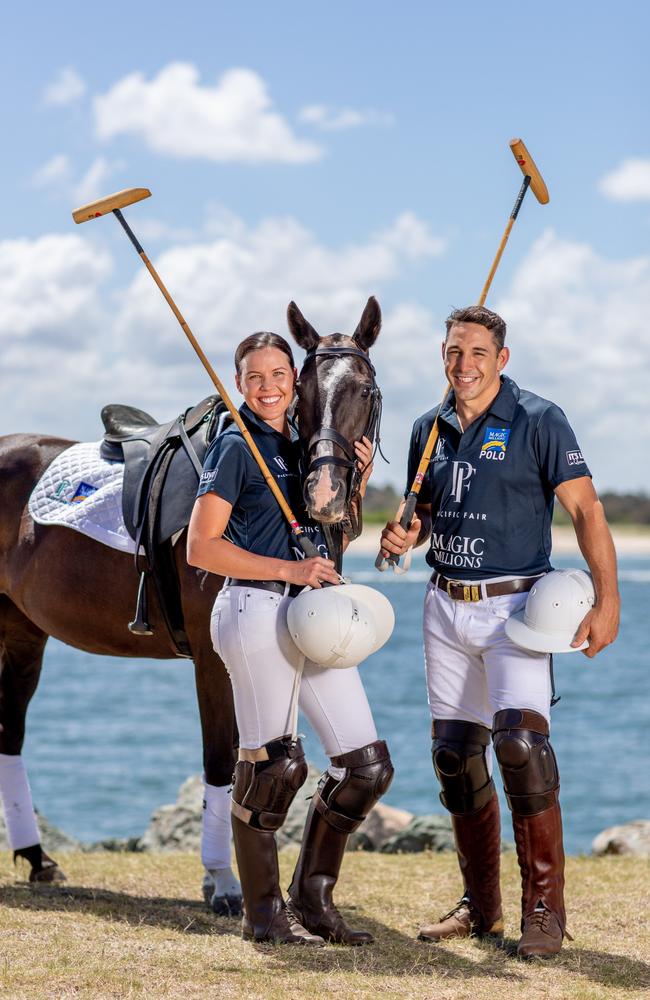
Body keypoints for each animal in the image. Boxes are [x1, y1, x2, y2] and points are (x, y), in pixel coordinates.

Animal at [0, 292, 380, 912]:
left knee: (10, 730)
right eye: (300, 389)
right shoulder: (211, 657)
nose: (322, 496)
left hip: (23, 629)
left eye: (365, 390)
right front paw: (223, 882)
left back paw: (36, 857)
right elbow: (224, 763)